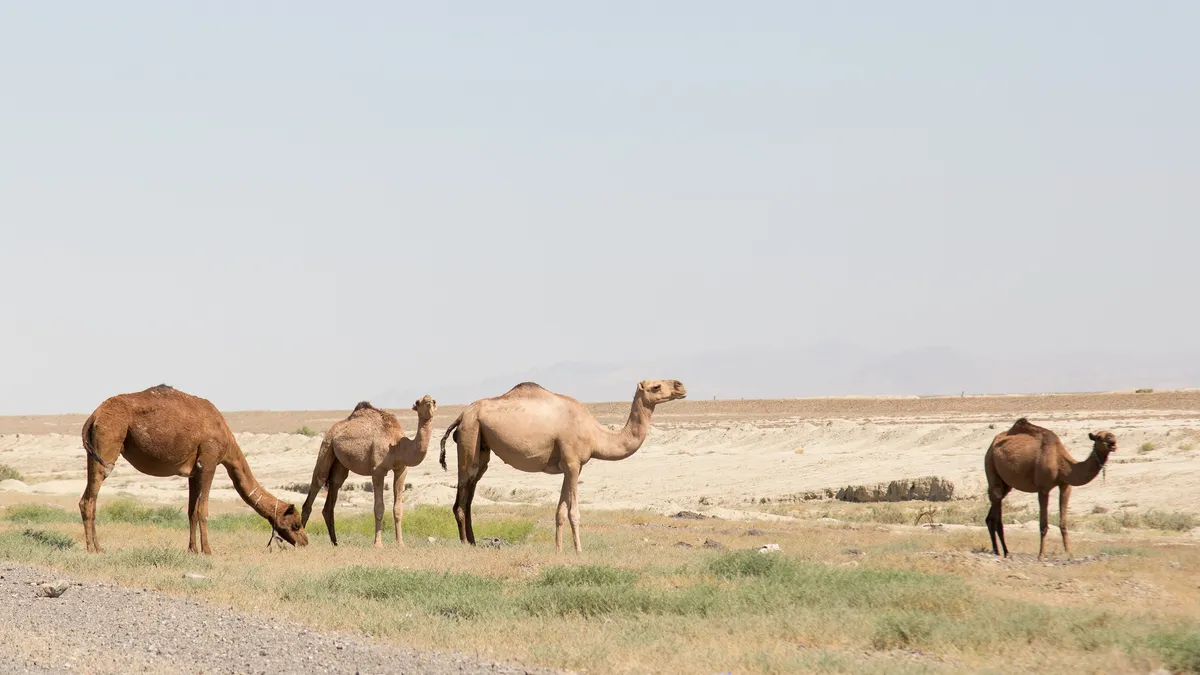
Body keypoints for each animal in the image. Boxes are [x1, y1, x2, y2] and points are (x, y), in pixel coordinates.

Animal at [79, 385, 309, 554]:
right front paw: (207, 550)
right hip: (109, 442)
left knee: (88, 499)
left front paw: (192, 550)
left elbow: (191, 511)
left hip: (94, 452)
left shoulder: (193, 472)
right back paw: (93, 548)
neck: (227, 441)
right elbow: (203, 510)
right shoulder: (208, 462)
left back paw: (97, 546)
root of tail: (93, 416)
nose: (305, 541)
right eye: (296, 524)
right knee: (90, 498)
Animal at [301, 396, 437, 547]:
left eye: (434, 401)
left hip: (339, 463)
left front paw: (400, 544)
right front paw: (378, 544)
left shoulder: (401, 469)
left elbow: (398, 509)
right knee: (318, 481)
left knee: (334, 486)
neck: (397, 445)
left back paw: (335, 543)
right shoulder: (378, 470)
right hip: (326, 445)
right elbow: (379, 507)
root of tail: (334, 428)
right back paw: (300, 541)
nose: (429, 400)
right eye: (418, 402)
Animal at [439, 380, 687, 553]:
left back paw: (473, 542)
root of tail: (462, 414)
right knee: (462, 493)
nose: (680, 385)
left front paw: (558, 549)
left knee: (470, 491)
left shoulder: (572, 466)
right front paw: (579, 550)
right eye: (656, 386)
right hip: (471, 434)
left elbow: (560, 511)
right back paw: (465, 543)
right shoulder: (572, 462)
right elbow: (574, 512)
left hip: (482, 444)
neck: (596, 434)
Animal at [983, 417, 1117, 559]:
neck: (1060, 462)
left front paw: (1068, 552)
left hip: (1005, 484)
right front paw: (1041, 554)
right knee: (996, 511)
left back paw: (1000, 551)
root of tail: (993, 443)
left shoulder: (1065, 486)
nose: (1113, 441)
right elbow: (1043, 525)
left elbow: (1063, 523)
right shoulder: (1043, 488)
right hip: (990, 464)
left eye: (1112, 435)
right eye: (1099, 437)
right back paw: (1003, 552)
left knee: (991, 515)